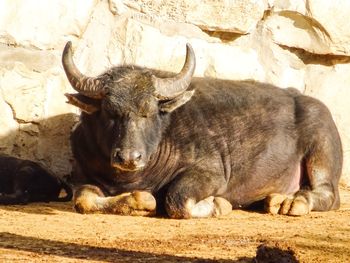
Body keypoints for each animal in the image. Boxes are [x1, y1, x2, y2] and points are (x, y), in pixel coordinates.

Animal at [61, 41, 340, 219]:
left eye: (148, 112)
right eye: (110, 112)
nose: (129, 157)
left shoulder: (212, 174)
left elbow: (177, 199)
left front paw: (219, 205)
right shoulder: (82, 175)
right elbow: (82, 200)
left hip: (321, 149)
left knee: (329, 193)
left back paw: (295, 202)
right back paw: (275, 200)